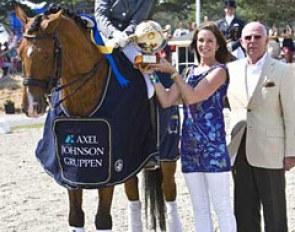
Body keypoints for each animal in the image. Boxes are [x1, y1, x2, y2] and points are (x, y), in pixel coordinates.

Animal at [15, 6, 163, 231]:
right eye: (19, 53)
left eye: (47, 55)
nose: (31, 107)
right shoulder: (69, 170)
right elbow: (76, 216)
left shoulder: (111, 168)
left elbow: (102, 219)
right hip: (133, 163)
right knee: (133, 196)